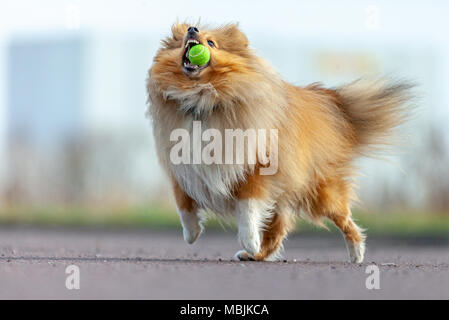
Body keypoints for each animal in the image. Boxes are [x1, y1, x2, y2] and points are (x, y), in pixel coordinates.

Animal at [145, 23, 412, 262]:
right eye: (184, 38)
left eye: (211, 42)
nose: (192, 29)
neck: (202, 101)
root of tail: (330, 103)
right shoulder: (185, 168)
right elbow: (183, 204)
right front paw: (192, 234)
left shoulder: (254, 171)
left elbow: (247, 210)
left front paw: (250, 240)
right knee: (277, 232)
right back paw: (253, 256)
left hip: (321, 193)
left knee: (345, 221)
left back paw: (356, 254)